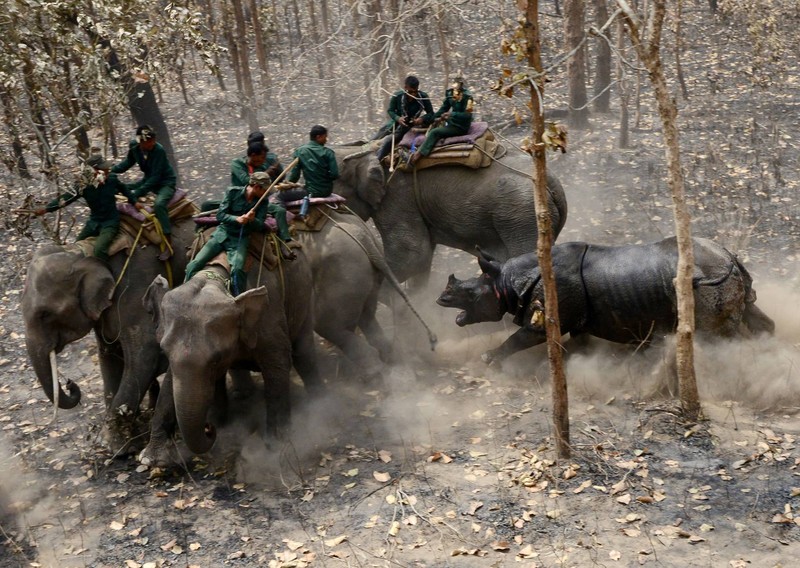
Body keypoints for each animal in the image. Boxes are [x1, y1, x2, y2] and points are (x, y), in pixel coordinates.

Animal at [21, 217, 196, 452]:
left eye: (45, 314)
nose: (70, 383)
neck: (84, 252)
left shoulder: (137, 289)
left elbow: (146, 355)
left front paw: (114, 449)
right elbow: (109, 356)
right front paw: (116, 443)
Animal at [142, 248, 320, 462]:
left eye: (215, 359)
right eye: (164, 351)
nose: (209, 429)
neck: (215, 277)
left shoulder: (269, 316)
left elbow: (278, 364)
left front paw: (277, 445)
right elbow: (170, 379)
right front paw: (150, 458)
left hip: (304, 294)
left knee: (303, 354)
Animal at [434, 237, 780, 366]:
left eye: (470, 293)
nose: (441, 298)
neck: (505, 281)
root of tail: (730, 257)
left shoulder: (546, 316)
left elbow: (520, 338)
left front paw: (488, 359)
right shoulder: (577, 318)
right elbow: (580, 344)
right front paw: (582, 364)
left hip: (707, 284)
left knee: (716, 335)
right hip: (724, 276)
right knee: (752, 314)